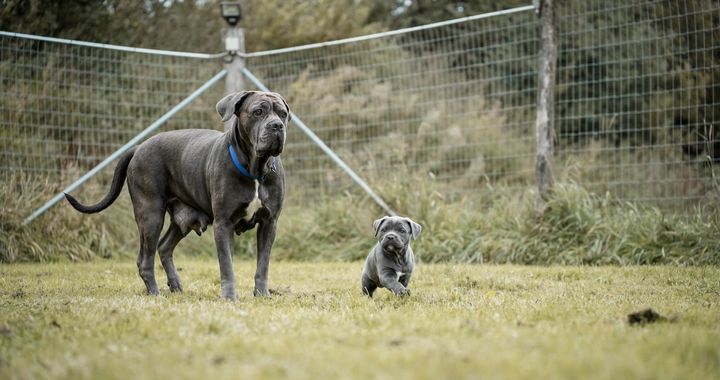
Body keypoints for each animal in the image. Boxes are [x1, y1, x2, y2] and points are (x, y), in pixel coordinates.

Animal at [64, 90, 290, 300]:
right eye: (258, 112)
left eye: (283, 114)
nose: (277, 126)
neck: (255, 168)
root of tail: (139, 146)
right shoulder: (223, 224)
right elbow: (227, 265)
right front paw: (229, 297)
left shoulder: (269, 223)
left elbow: (263, 264)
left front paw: (262, 294)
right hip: (150, 215)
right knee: (145, 259)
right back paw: (155, 292)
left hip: (182, 218)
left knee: (164, 247)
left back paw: (175, 285)